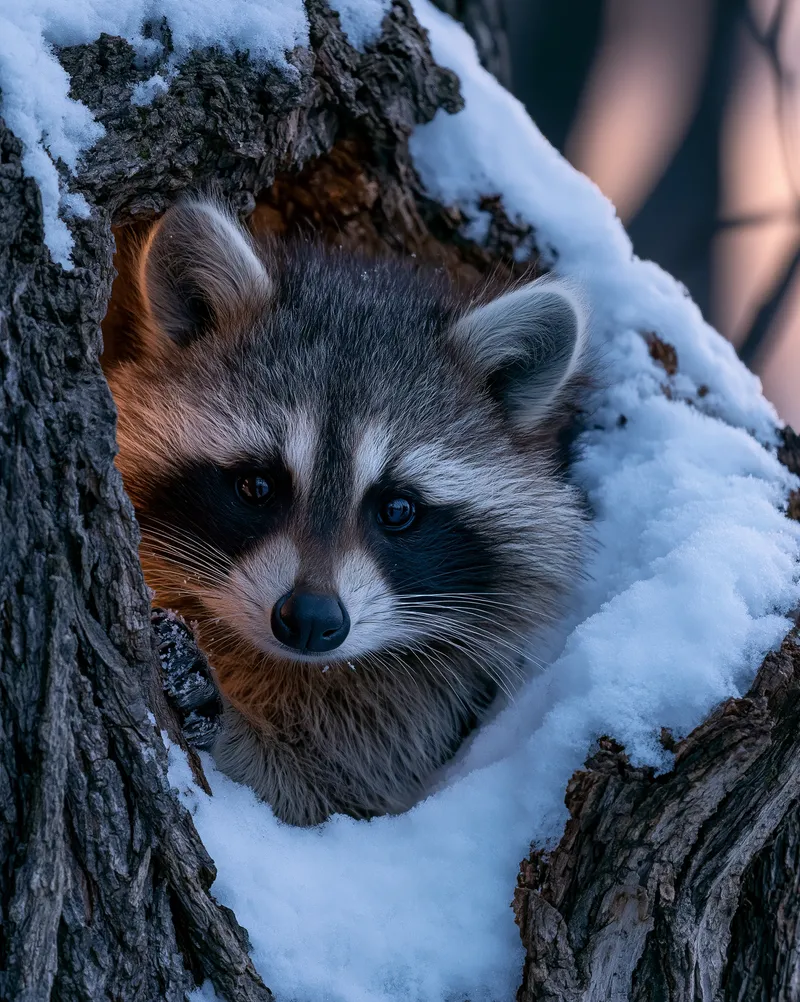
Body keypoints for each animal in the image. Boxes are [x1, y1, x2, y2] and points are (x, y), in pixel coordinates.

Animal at [108, 197, 590, 827]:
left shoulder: (418, 707)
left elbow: (336, 794)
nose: (311, 619)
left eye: (398, 509)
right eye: (257, 485)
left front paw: (234, 732)